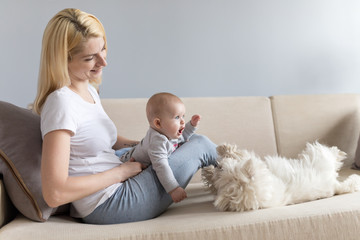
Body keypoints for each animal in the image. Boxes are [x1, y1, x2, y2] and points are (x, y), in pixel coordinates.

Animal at [201, 142, 360, 211]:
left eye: (225, 170)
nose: (218, 166)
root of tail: (334, 186)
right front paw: (208, 173)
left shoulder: (258, 163)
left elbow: (240, 154)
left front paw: (224, 150)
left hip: (318, 155)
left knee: (330, 152)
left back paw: (339, 152)